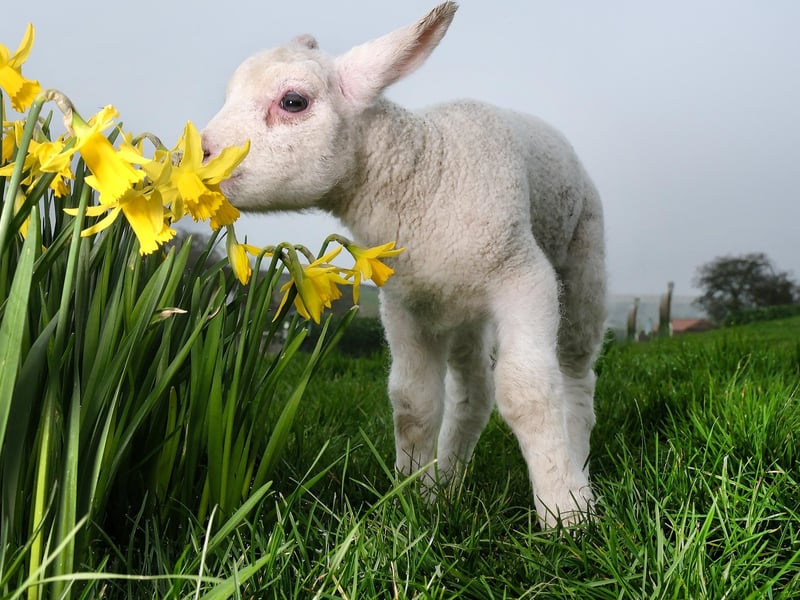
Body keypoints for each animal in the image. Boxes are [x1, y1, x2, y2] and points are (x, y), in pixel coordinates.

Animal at [201, 1, 607, 528]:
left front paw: (565, 513)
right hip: (459, 306)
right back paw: (450, 484)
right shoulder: (405, 303)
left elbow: (529, 393)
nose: (199, 157)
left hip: (583, 264)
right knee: (471, 394)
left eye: (293, 102)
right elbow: (413, 403)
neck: (424, 175)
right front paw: (414, 499)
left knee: (576, 376)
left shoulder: (524, 277)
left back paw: (578, 466)